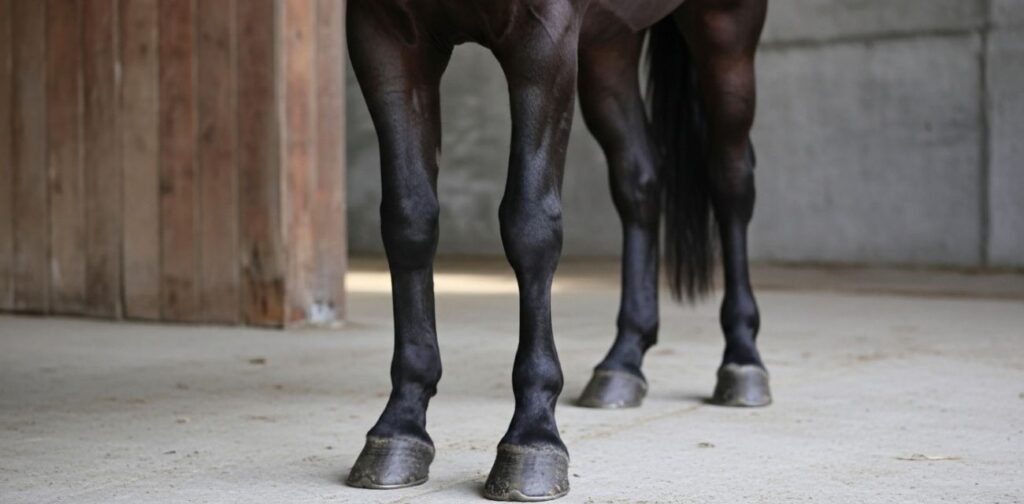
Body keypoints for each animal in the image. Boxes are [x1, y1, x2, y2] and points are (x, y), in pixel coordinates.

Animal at [344, 0, 770, 500]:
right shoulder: (384, 37)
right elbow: (408, 221)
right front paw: (399, 430)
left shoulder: (543, 43)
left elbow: (529, 224)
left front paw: (533, 441)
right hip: (610, 45)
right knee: (640, 181)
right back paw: (622, 364)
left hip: (727, 29)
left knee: (731, 180)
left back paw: (743, 362)